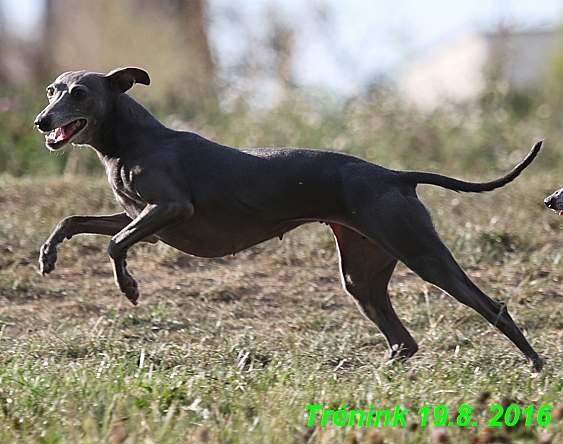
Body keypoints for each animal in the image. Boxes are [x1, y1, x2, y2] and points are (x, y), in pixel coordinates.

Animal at [35, 67, 548, 370]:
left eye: (79, 93)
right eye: (51, 90)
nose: (42, 121)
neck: (130, 139)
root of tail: (393, 175)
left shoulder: (170, 210)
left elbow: (114, 243)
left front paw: (129, 287)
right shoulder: (145, 221)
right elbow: (73, 220)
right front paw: (47, 256)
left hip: (423, 254)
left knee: (494, 308)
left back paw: (537, 365)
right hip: (361, 273)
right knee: (404, 342)